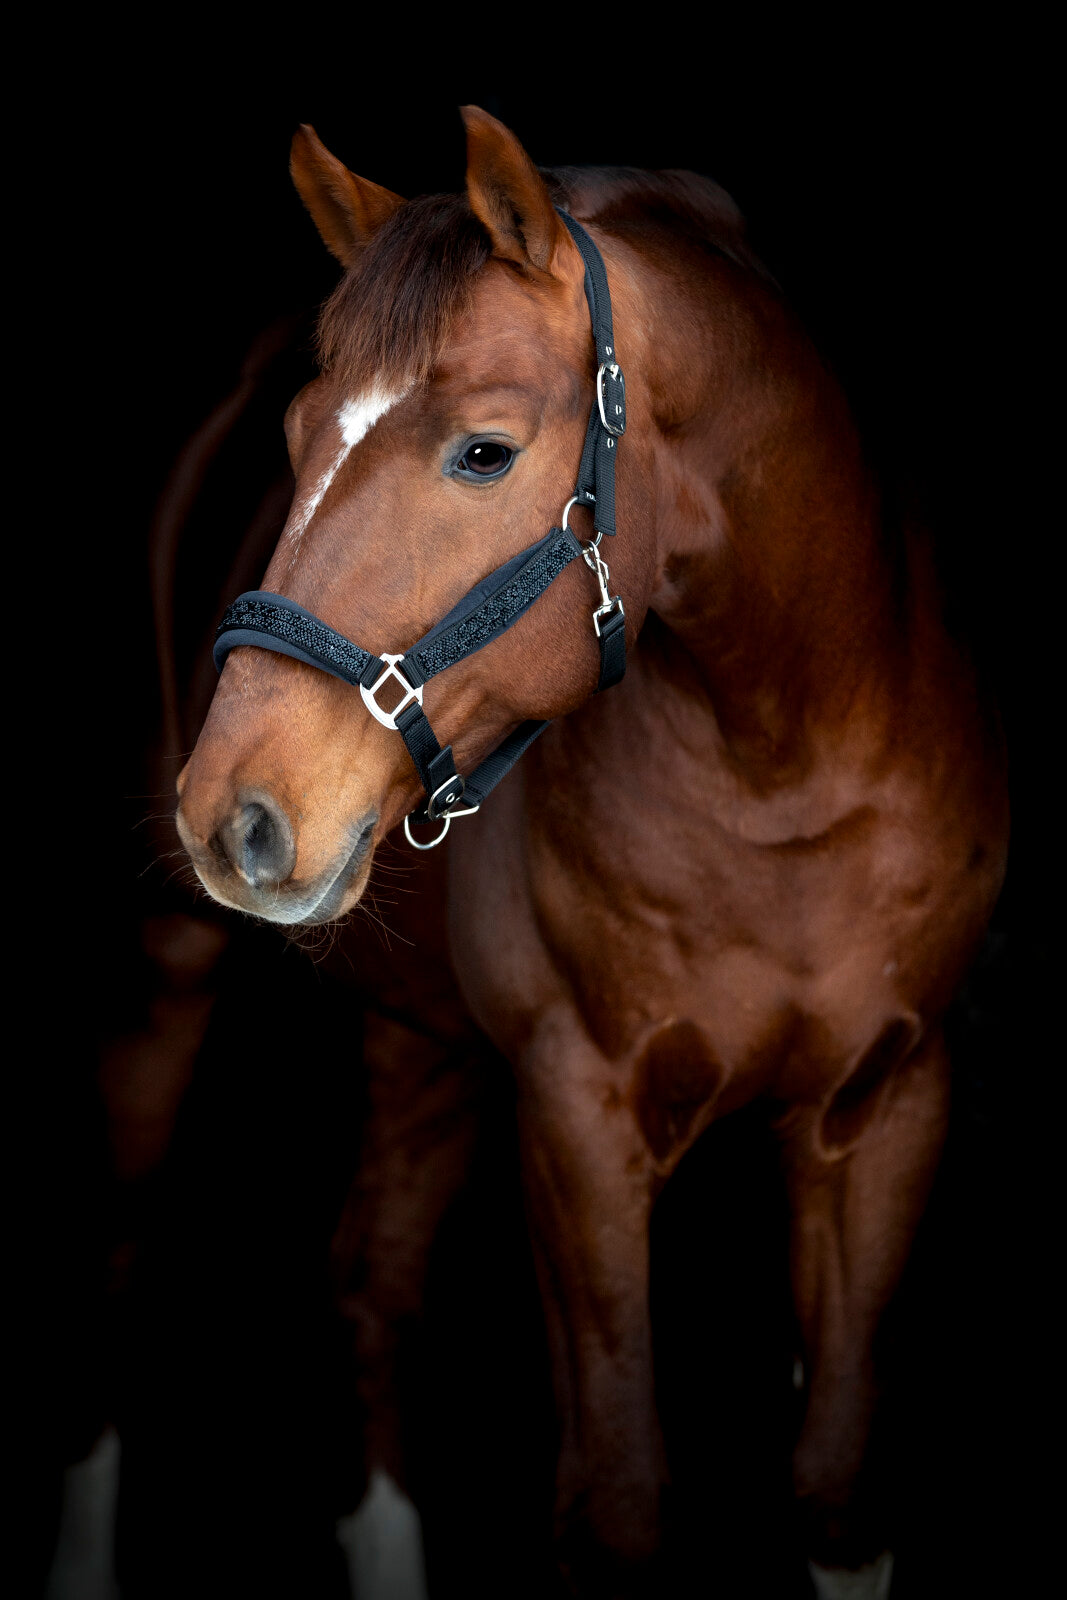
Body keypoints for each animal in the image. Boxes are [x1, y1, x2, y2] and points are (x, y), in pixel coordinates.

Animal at [174, 106, 1008, 1598]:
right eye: (296, 437)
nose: (232, 811)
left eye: (484, 451)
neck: (778, 765)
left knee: (371, 1279)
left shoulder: (888, 1103)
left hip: (422, 1042)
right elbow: (616, 1493)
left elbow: (836, 1487)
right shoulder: (576, 1117)